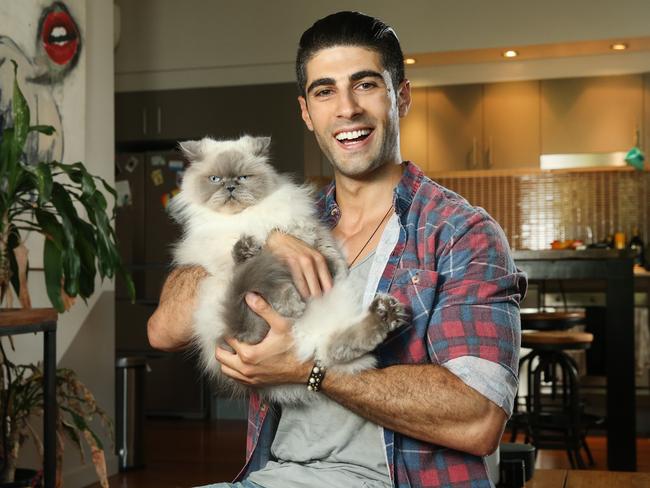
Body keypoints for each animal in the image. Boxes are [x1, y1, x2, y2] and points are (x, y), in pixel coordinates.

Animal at [170, 134, 408, 404]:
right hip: (233, 304)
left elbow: (329, 253)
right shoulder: (227, 263)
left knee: (333, 350)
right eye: (215, 179)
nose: (229, 187)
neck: (246, 216)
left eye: (243, 177)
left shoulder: (306, 228)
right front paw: (292, 305)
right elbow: (274, 283)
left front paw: (337, 273)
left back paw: (385, 313)